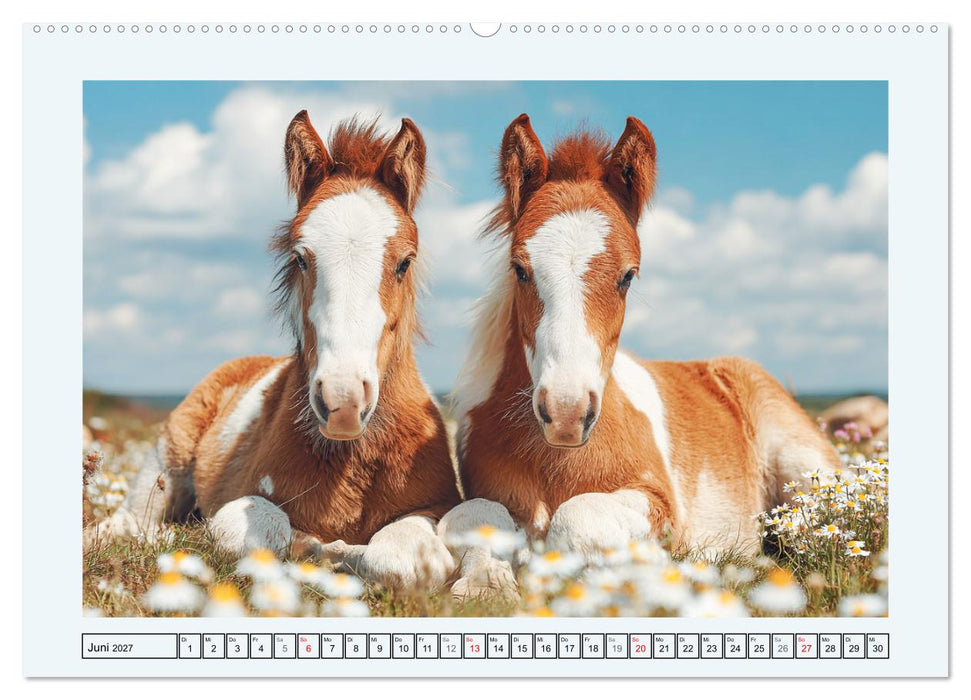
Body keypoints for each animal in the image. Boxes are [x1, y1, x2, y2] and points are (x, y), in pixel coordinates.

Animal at [91, 112, 463, 590]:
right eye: (301, 257)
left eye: (405, 262)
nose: (342, 402)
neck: (351, 459)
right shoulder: (239, 503)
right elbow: (266, 536)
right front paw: (323, 549)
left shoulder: (434, 509)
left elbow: (403, 561)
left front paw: (339, 552)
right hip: (161, 471)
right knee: (127, 525)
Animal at [438, 114, 839, 596]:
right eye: (520, 269)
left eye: (628, 276)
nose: (567, 413)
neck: (556, 458)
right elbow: (475, 514)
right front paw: (485, 583)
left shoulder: (660, 503)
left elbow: (578, 515)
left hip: (806, 472)